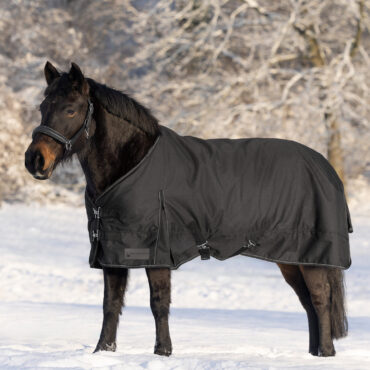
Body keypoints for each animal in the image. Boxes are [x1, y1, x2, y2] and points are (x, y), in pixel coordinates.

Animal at [24, 62, 348, 356]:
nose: (35, 160)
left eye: (70, 110)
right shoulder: (112, 253)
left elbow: (159, 303)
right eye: (43, 107)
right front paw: (103, 351)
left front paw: (163, 352)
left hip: (311, 257)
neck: (132, 166)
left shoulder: (155, 252)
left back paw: (325, 353)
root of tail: (326, 168)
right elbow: (111, 305)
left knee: (320, 299)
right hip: (290, 259)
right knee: (308, 302)